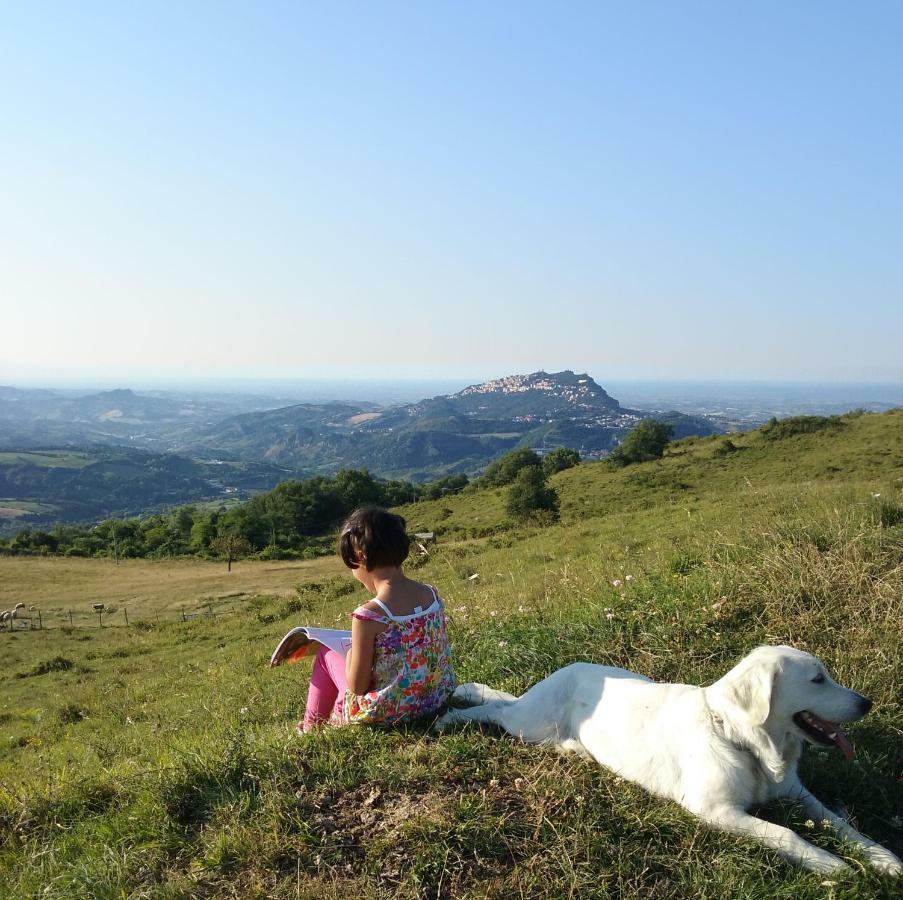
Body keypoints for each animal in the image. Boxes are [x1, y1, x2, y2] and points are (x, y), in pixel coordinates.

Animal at [434, 644, 900, 876]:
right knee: (497, 708)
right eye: (818, 679)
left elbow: (843, 824)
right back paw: (452, 715)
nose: (867, 703)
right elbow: (786, 833)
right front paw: (832, 864)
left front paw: (883, 859)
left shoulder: (798, 793)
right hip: (529, 724)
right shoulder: (713, 809)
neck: (741, 740)